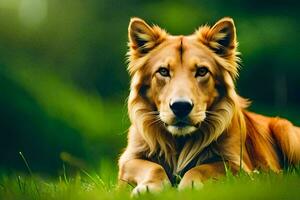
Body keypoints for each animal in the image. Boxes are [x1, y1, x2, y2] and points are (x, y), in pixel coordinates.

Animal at [118, 16, 300, 195]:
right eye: (163, 71)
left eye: (202, 71)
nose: (181, 106)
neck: (180, 141)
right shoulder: (128, 160)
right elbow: (152, 166)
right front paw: (149, 188)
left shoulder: (239, 166)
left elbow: (204, 168)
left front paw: (190, 185)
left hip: (285, 130)